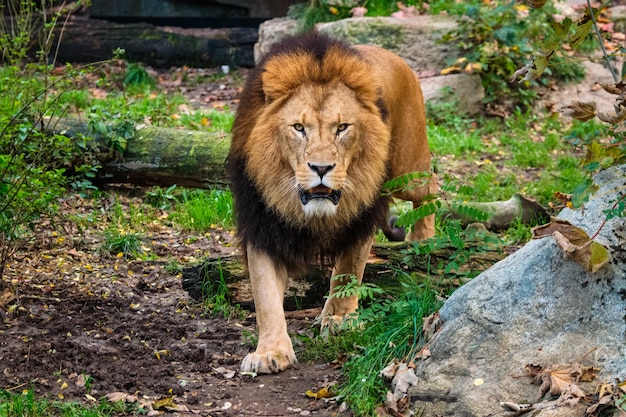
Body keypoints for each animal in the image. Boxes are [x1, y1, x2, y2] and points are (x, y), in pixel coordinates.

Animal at [224, 30, 434, 372]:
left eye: (342, 128)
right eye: (299, 128)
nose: (321, 169)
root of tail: (395, 56)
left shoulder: (361, 217)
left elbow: (348, 271)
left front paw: (339, 320)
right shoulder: (263, 224)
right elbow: (266, 294)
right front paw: (270, 351)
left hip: (408, 171)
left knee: (432, 190)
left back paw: (424, 240)